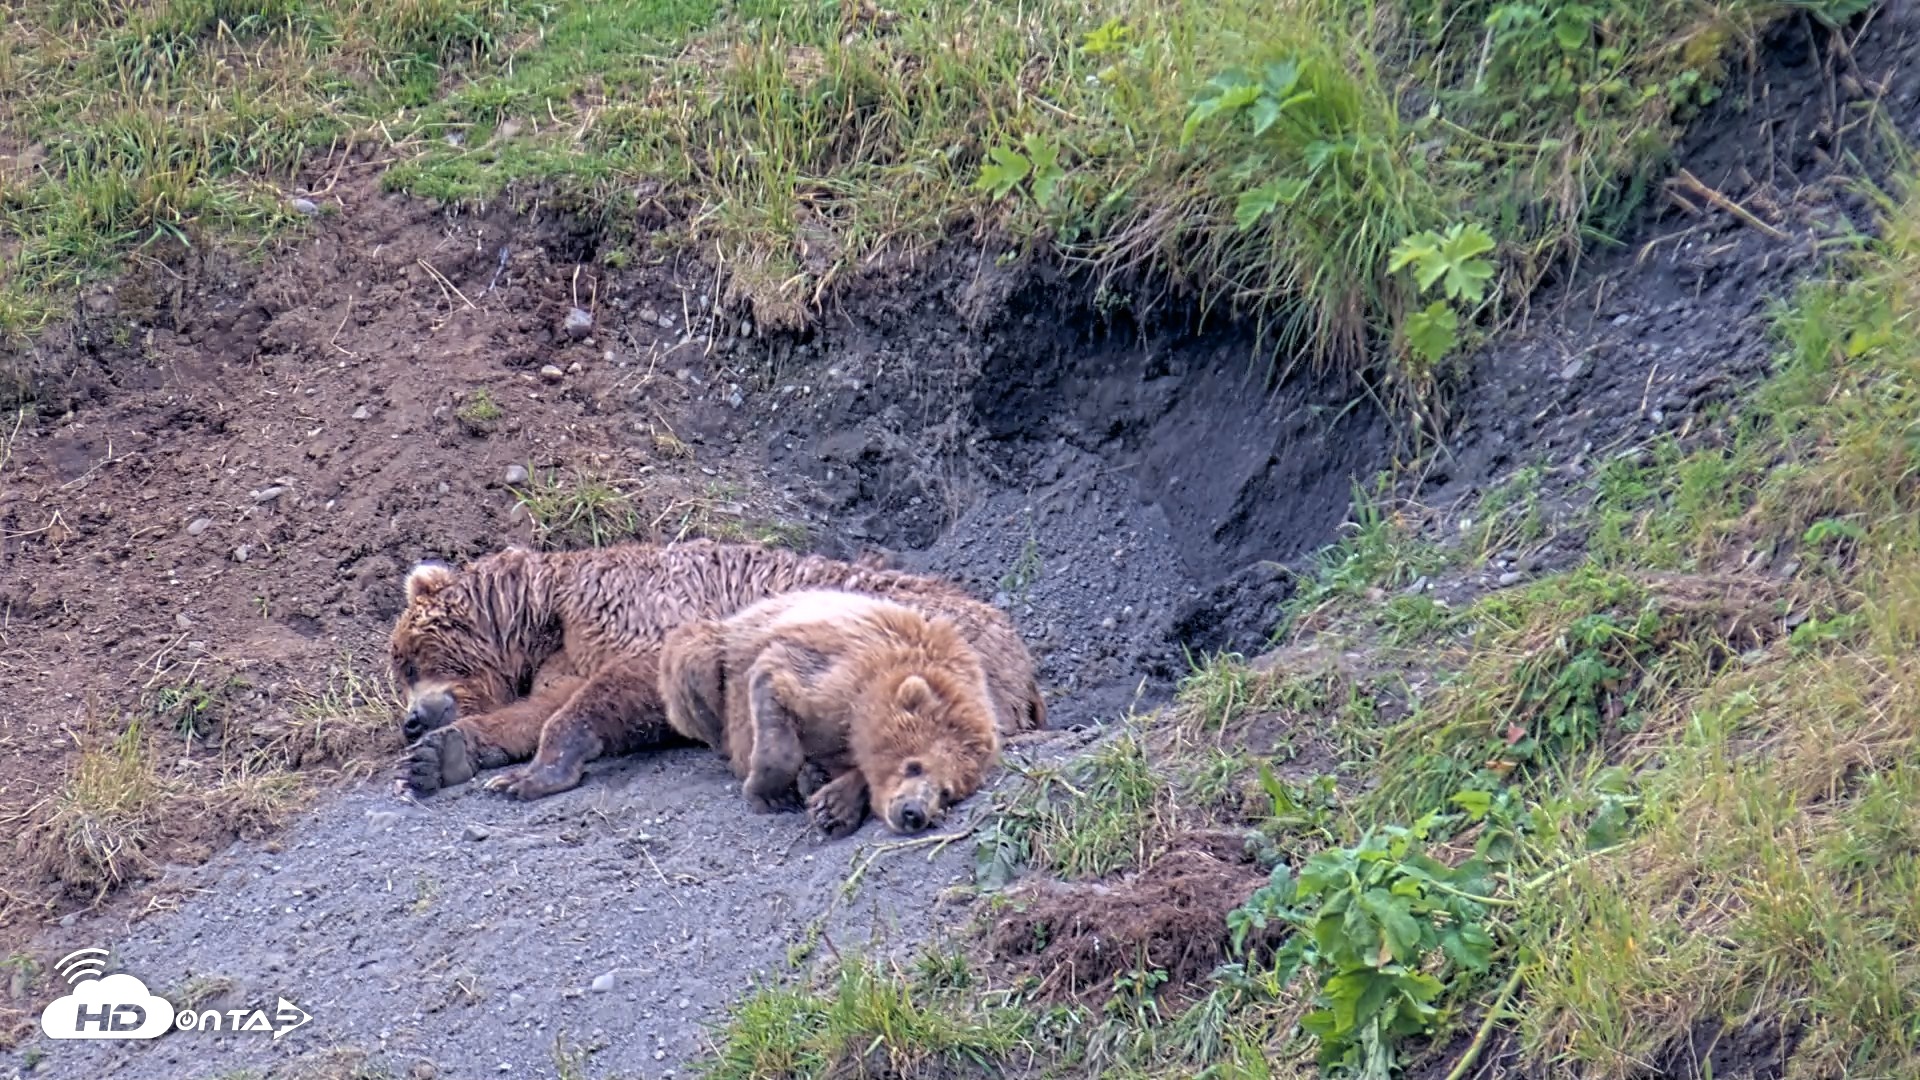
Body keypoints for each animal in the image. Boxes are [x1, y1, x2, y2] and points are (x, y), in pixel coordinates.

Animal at [390, 539, 1044, 801]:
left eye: (408, 662)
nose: (411, 722)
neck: (547, 611)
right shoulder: (573, 652)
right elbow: (543, 705)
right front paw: (440, 758)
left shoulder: (641, 614)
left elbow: (623, 690)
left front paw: (534, 775)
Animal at [657, 589, 1002, 838]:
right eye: (914, 765)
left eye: (947, 792)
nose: (913, 812)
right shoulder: (835, 674)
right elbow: (777, 686)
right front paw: (772, 795)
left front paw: (834, 807)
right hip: (715, 653)